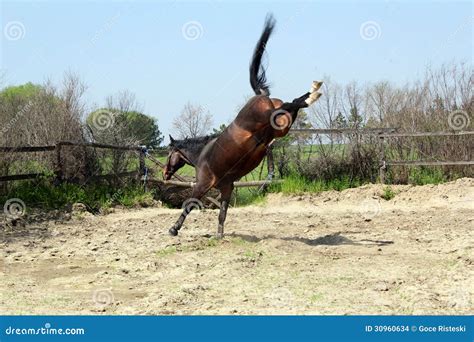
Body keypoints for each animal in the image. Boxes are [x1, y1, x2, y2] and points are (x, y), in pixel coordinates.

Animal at [164, 14, 322, 238]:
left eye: (169, 154)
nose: (165, 174)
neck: (202, 154)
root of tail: (260, 96)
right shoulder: (227, 187)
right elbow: (222, 213)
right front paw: (219, 235)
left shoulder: (203, 185)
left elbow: (189, 204)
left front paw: (174, 229)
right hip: (282, 127)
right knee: (293, 104)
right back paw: (314, 90)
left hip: (273, 118)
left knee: (292, 103)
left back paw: (314, 91)